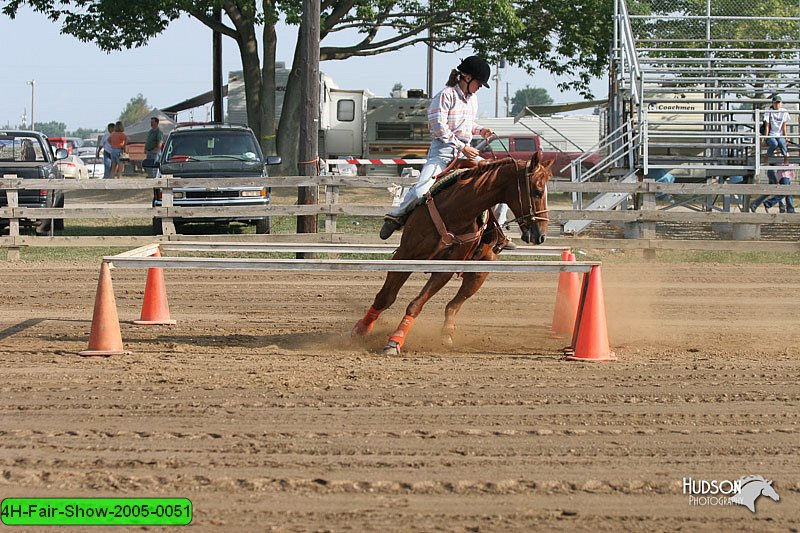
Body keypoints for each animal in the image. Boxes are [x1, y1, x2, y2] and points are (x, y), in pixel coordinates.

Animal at [354, 152, 552, 356]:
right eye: (537, 191)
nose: (540, 235)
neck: (456, 211)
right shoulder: (404, 254)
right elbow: (385, 297)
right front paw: (361, 329)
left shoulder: (446, 268)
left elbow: (416, 304)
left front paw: (395, 341)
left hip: (479, 274)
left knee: (454, 304)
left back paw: (447, 333)